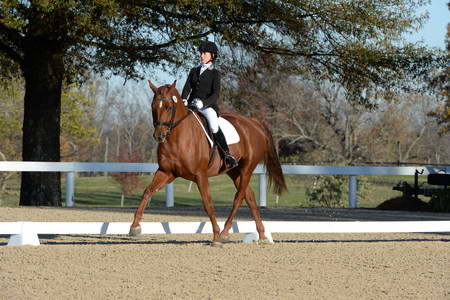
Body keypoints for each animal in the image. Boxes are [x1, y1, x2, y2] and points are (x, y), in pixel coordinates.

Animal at [128, 79, 286, 244]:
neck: (177, 138)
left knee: (239, 197)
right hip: (234, 171)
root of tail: (254, 122)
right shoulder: (166, 172)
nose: (159, 135)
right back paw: (262, 235)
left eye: (168, 107)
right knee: (249, 197)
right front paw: (135, 227)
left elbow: (207, 202)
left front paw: (216, 237)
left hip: (247, 168)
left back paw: (224, 232)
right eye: (153, 106)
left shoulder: (200, 175)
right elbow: (147, 192)